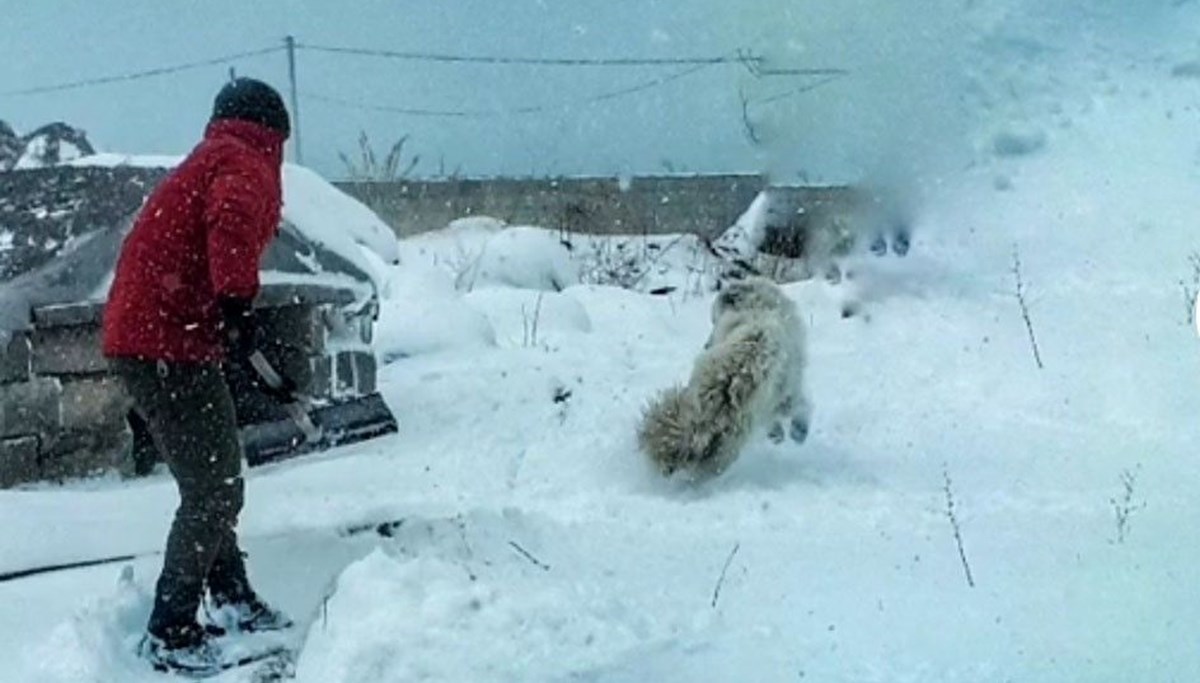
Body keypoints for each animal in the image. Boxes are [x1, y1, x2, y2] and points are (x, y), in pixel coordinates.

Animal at [633, 277, 811, 480]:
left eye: (714, 320)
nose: (706, 345)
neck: (758, 307)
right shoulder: (788, 389)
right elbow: (800, 407)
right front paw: (793, 432)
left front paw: (786, 433)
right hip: (731, 442)